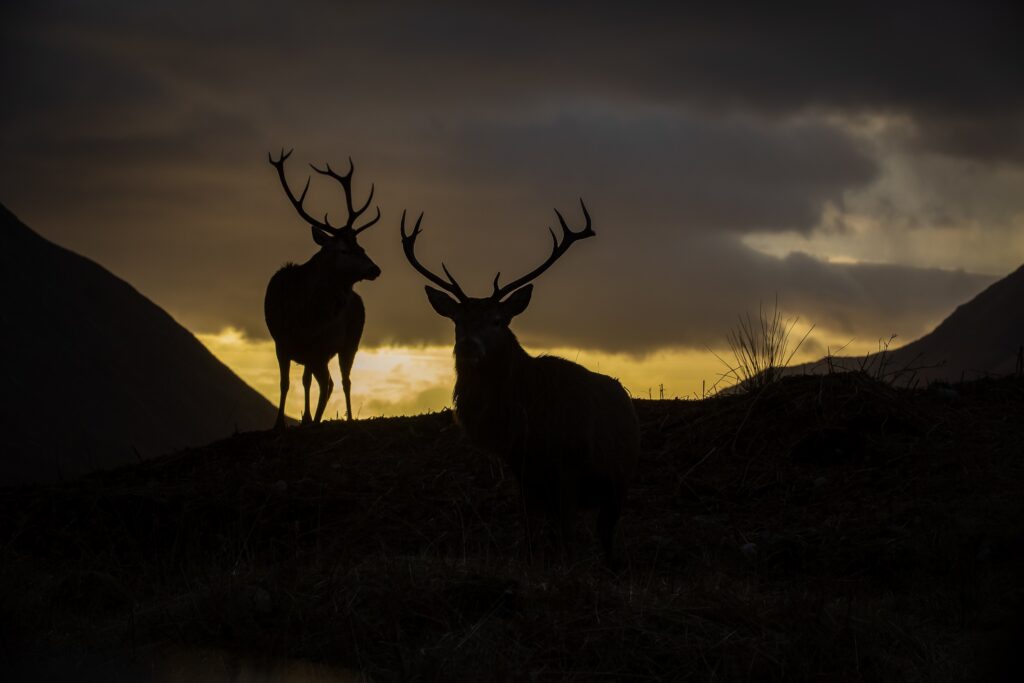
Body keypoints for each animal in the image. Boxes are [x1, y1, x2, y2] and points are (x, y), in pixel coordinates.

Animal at [264, 149, 381, 430]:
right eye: (344, 249)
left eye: (361, 247)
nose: (375, 269)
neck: (303, 314)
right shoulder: (281, 342)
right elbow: (286, 383)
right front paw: (280, 423)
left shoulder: (315, 346)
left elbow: (306, 382)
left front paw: (306, 419)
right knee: (327, 382)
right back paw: (317, 418)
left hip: (350, 343)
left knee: (342, 381)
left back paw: (346, 418)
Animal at [401, 202, 640, 567]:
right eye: (457, 321)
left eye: (498, 320)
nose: (469, 345)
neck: (527, 422)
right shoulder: (522, 467)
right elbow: (529, 527)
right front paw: (532, 563)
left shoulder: (567, 465)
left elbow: (567, 532)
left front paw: (568, 568)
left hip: (618, 477)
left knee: (605, 533)